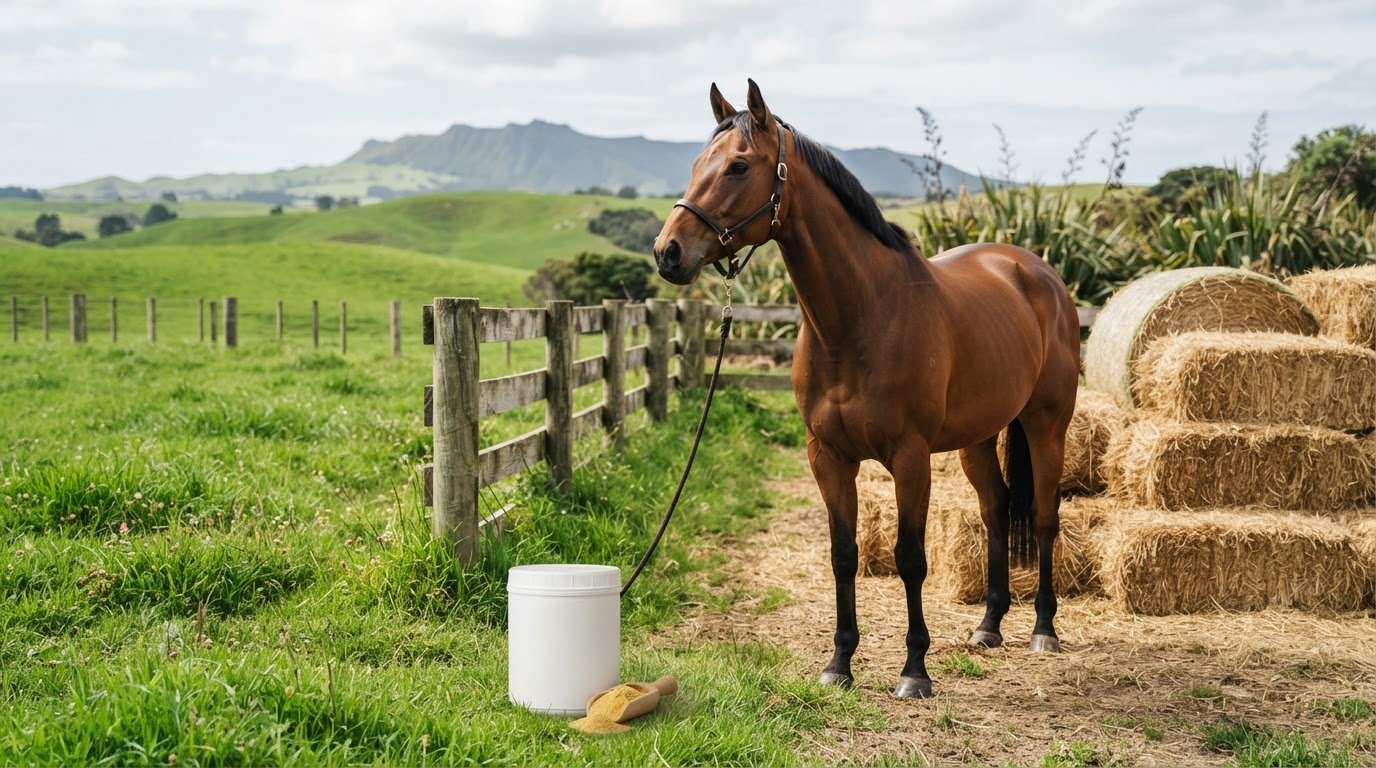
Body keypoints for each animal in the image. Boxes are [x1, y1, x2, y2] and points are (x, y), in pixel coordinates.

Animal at [653, 80, 1080, 699]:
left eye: (738, 165)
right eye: (694, 165)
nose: (668, 252)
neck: (861, 319)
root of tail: (1037, 273)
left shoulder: (910, 458)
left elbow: (910, 557)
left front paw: (915, 669)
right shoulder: (828, 457)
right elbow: (842, 555)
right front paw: (839, 663)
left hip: (1047, 423)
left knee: (1045, 516)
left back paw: (1044, 628)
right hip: (979, 436)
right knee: (996, 509)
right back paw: (989, 625)